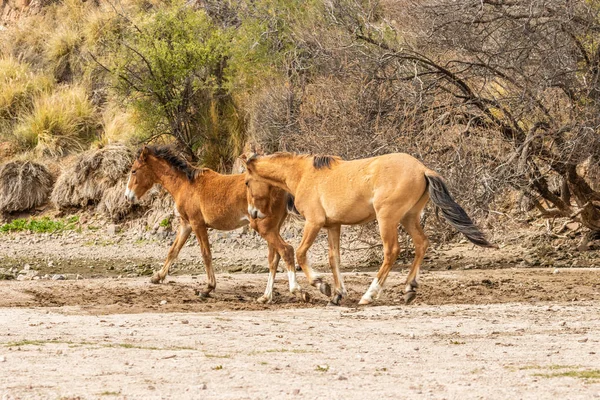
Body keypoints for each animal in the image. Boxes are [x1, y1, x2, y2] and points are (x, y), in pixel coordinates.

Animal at [124, 146, 328, 304]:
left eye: (134, 170)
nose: (128, 197)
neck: (185, 185)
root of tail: (283, 188)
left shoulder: (198, 224)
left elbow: (206, 255)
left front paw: (207, 288)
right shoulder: (186, 224)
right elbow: (173, 251)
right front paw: (157, 276)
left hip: (264, 227)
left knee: (286, 250)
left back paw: (299, 291)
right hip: (272, 227)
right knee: (274, 258)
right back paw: (266, 297)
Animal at [240, 152, 496, 304]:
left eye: (247, 182)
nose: (253, 214)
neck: (304, 174)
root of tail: (423, 169)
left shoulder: (314, 223)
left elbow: (301, 254)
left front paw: (322, 286)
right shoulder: (333, 226)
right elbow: (335, 259)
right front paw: (338, 294)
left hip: (387, 219)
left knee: (391, 252)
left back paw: (369, 295)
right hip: (409, 218)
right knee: (422, 244)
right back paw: (409, 288)